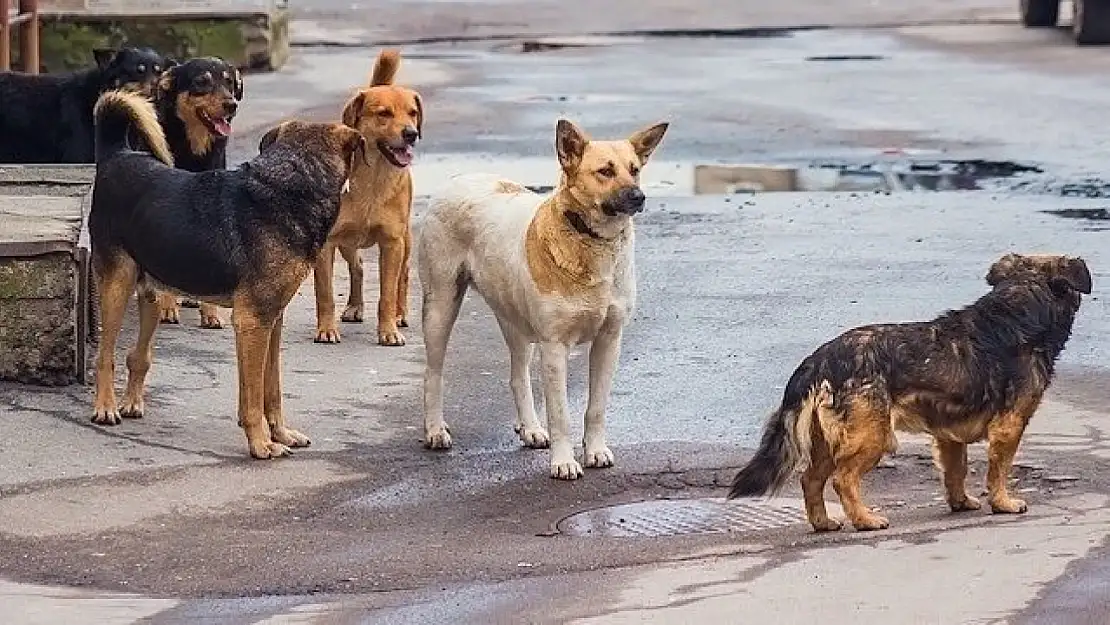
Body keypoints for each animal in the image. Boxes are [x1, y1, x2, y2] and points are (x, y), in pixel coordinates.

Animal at [88, 88, 364, 459]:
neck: (291, 185)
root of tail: (116, 155)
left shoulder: (272, 320)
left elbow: (271, 389)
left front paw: (281, 434)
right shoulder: (252, 322)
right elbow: (252, 397)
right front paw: (261, 443)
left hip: (151, 293)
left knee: (137, 355)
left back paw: (131, 402)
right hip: (117, 285)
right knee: (105, 356)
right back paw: (105, 407)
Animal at [315, 48, 421, 346]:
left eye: (413, 113)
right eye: (384, 113)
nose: (411, 134)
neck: (373, 179)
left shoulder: (392, 243)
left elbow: (387, 293)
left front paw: (388, 330)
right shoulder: (327, 243)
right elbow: (325, 294)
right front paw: (326, 329)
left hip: (405, 240)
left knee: (403, 276)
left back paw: (400, 313)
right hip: (347, 242)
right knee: (358, 266)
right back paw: (354, 306)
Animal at [412, 117, 661, 479]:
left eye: (635, 170)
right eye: (605, 171)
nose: (639, 197)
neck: (591, 241)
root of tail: (459, 178)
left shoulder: (609, 340)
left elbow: (596, 408)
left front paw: (595, 451)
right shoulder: (555, 347)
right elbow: (560, 415)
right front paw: (564, 462)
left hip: (514, 319)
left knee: (518, 377)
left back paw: (529, 428)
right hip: (440, 307)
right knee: (433, 373)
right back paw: (434, 430)